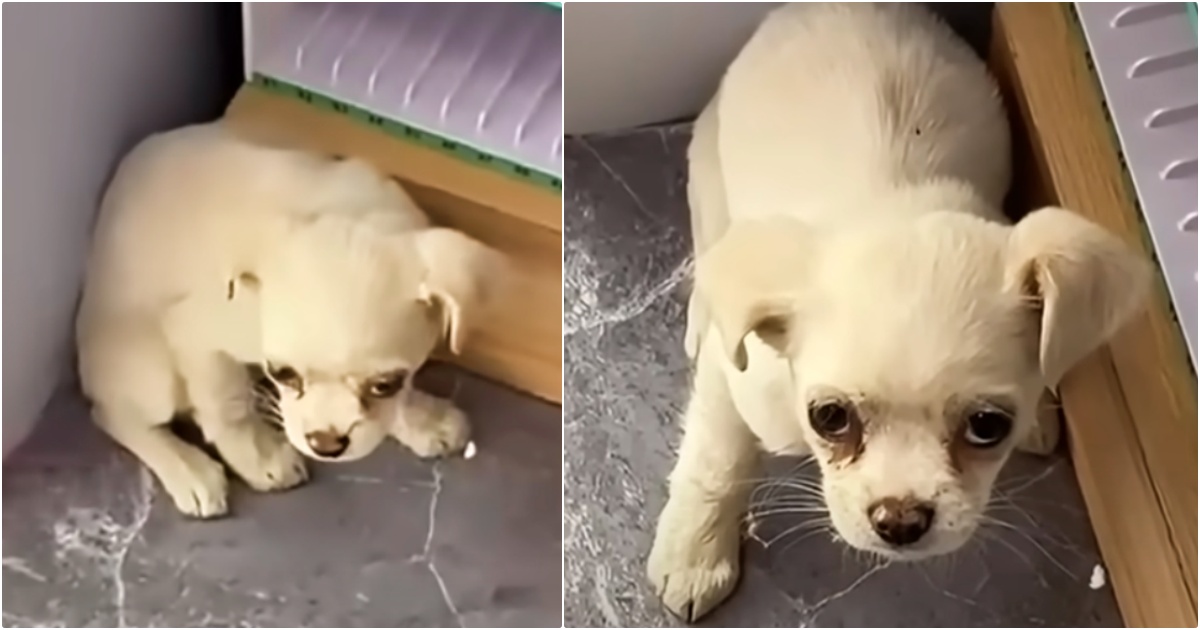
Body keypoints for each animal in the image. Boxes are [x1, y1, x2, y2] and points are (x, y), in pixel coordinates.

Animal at [73, 123, 506, 516]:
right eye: (283, 374)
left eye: (385, 384)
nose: (326, 445)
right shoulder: (195, 333)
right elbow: (227, 407)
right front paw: (259, 457)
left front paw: (421, 420)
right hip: (153, 374)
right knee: (115, 414)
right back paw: (189, 470)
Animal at [648, 2, 1152, 619]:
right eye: (829, 416)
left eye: (988, 426)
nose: (901, 522)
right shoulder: (739, 383)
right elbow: (716, 457)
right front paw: (695, 556)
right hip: (708, 180)